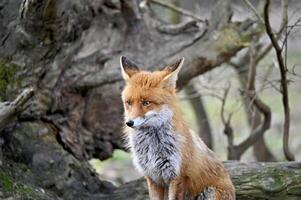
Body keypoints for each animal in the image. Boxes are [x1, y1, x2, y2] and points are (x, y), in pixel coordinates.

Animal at [119, 56, 234, 200]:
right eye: (128, 103)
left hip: (210, 192)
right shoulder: (152, 178)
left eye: (146, 103)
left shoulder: (177, 176)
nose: (129, 123)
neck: (152, 146)